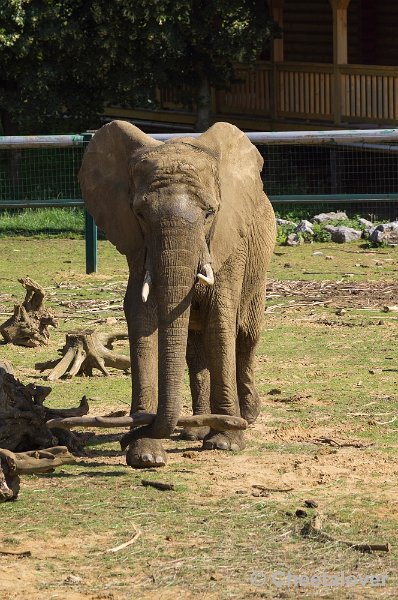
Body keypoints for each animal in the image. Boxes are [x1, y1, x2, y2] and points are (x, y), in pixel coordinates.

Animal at [79, 120, 276, 468]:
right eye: (139, 214)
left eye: (210, 213)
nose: (127, 434)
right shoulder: (137, 246)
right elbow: (141, 317)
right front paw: (145, 454)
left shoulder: (229, 243)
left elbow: (220, 319)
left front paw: (226, 442)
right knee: (195, 350)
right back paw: (195, 430)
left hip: (259, 264)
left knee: (246, 336)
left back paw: (247, 416)